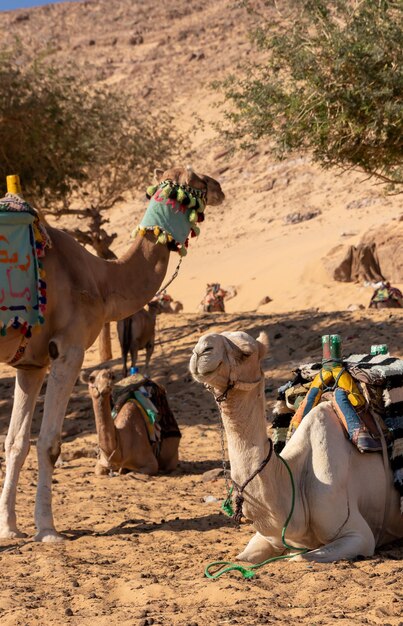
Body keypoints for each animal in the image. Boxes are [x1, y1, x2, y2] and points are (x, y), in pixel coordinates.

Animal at [0, 166, 226, 540]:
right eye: (199, 180)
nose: (221, 187)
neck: (102, 280)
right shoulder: (69, 349)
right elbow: (49, 443)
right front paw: (47, 530)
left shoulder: (31, 363)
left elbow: (16, 443)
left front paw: (9, 528)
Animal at [189, 332, 403, 560]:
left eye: (246, 352)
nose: (201, 350)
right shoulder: (265, 538)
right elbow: (240, 559)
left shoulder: (358, 535)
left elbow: (299, 557)